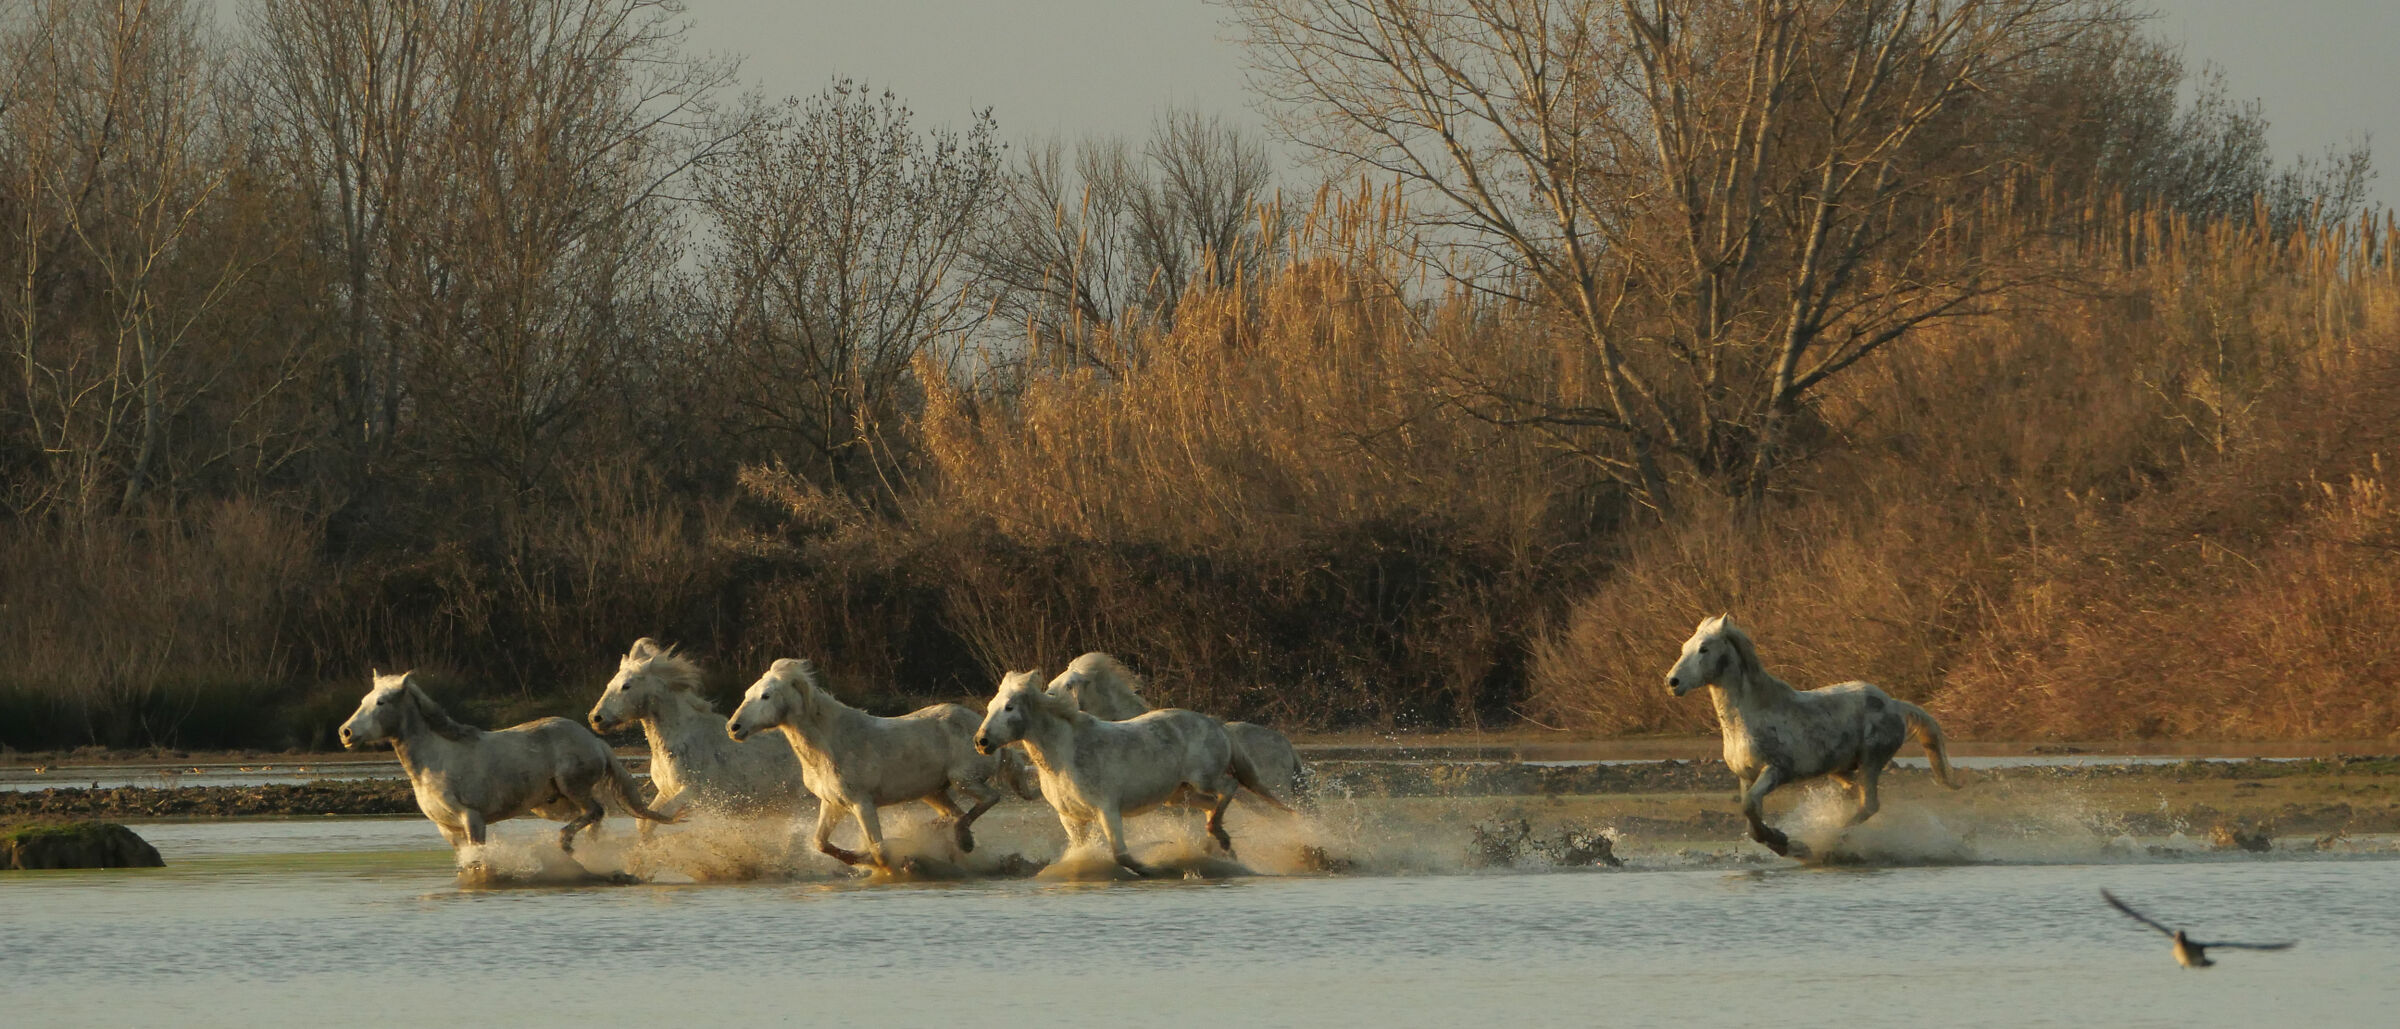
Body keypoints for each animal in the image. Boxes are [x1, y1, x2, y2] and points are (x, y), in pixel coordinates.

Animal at [339, 670, 674, 854]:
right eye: (363, 700)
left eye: (381, 702)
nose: (346, 733)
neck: (434, 761)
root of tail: (597, 741)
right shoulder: (447, 828)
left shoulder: (472, 819)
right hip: (554, 803)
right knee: (595, 818)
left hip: (572, 788)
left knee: (595, 812)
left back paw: (566, 844)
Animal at [587, 638, 809, 822]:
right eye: (610, 683)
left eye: (626, 686)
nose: (595, 718)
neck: (680, 739)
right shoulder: (665, 791)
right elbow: (646, 823)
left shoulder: (693, 794)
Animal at [725, 657, 1007, 870]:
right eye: (748, 694)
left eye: (766, 696)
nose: (733, 727)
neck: (832, 743)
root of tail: (982, 729)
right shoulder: (833, 803)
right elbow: (820, 843)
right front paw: (858, 859)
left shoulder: (862, 802)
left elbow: (880, 852)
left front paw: (888, 865)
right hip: (932, 791)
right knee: (956, 813)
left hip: (964, 779)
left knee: (990, 798)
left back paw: (960, 843)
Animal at [977, 669, 1293, 877]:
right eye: (990, 706)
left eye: (1009, 707)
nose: (981, 742)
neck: (1065, 755)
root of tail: (1215, 723)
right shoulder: (1071, 818)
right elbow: (1081, 851)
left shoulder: (1107, 809)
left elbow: (1123, 856)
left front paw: (1155, 867)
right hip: (1177, 793)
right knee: (1212, 804)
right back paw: (1220, 846)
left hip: (1205, 778)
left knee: (1228, 788)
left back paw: (1219, 840)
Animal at [1664, 614, 1959, 857]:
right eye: (1685, 647)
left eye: (1704, 648)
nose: (1672, 682)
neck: (1750, 716)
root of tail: (1894, 704)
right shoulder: (1745, 776)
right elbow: (1751, 819)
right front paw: (1782, 842)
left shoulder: (1776, 770)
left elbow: (1749, 807)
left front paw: (1789, 844)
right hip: (1841, 769)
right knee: (1857, 797)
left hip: (1871, 761)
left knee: (1869, 805)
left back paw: (1833, 841)